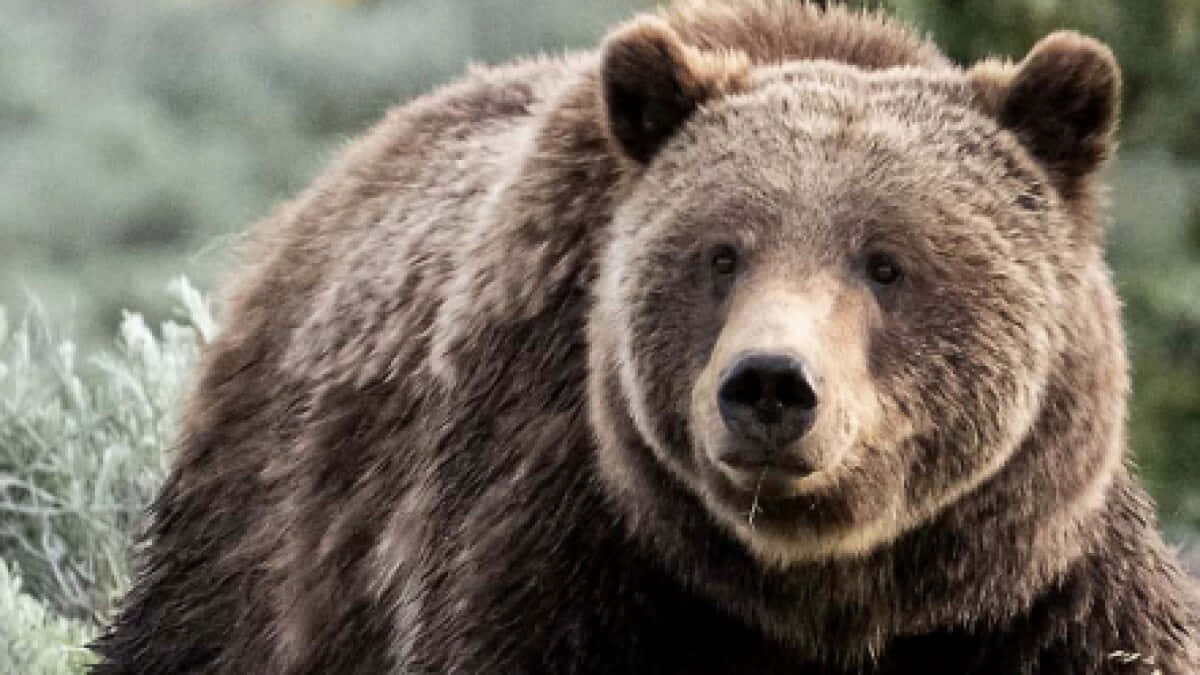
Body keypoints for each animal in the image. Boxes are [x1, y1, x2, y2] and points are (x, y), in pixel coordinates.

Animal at [92, 0, 1200, 673]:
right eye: (721, 254)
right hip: (266, 534)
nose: (769, 384)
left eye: (887, 262)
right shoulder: (562, 537)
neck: (820, 590)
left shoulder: (1029, 582)